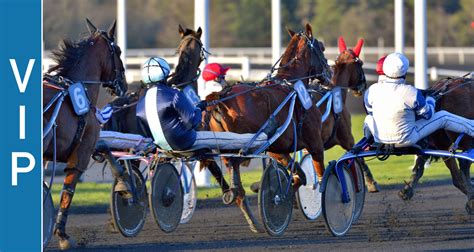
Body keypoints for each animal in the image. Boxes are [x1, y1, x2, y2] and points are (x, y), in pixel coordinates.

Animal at [42, 18, 127, 249]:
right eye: (118, 50)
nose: (124, 85)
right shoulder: (81, 151)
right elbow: (68, 191)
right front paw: (62, 235)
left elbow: (105, 147)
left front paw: (125, 183)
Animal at [204, 23, 334, 232]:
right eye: (321, 47)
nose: (329, 74)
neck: (293, 86)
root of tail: (220, 98)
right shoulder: (315, 143)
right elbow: (316, 177)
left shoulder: (276, 149)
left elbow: (299, 175)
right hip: (244, 146)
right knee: (236, 173)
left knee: (237, 187)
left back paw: (253, 221)